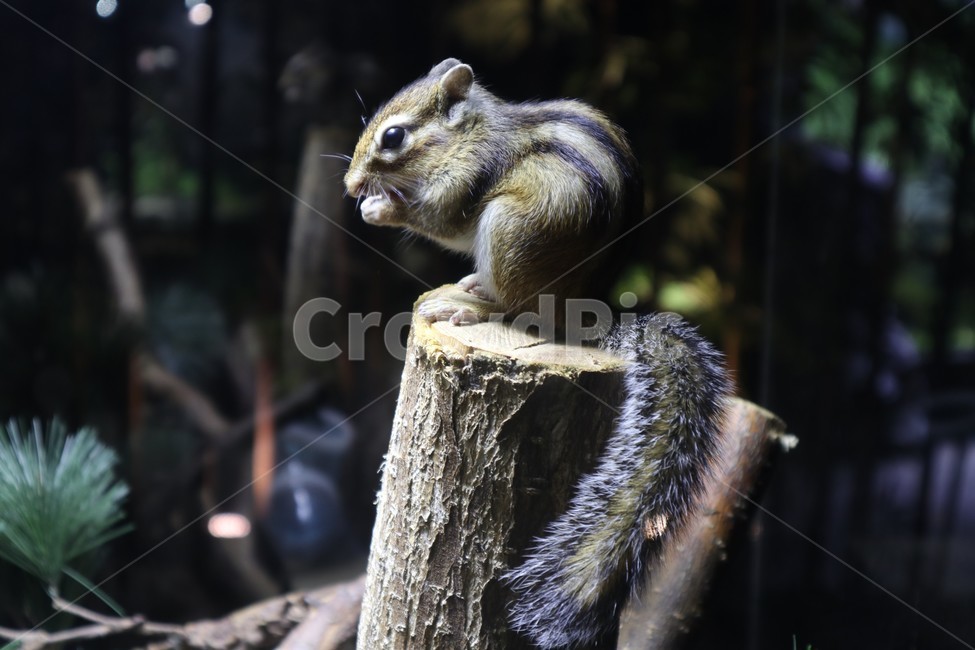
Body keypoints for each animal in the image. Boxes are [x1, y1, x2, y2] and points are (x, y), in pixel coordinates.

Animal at [344, 58, 731, 648]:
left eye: (393, 137)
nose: (349, 184)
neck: (470, 134)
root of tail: (586, 315)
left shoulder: (468, 181)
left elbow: (444, 222)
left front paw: (378, 208)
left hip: (507, 229)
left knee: (517, 308)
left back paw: (471, 304)